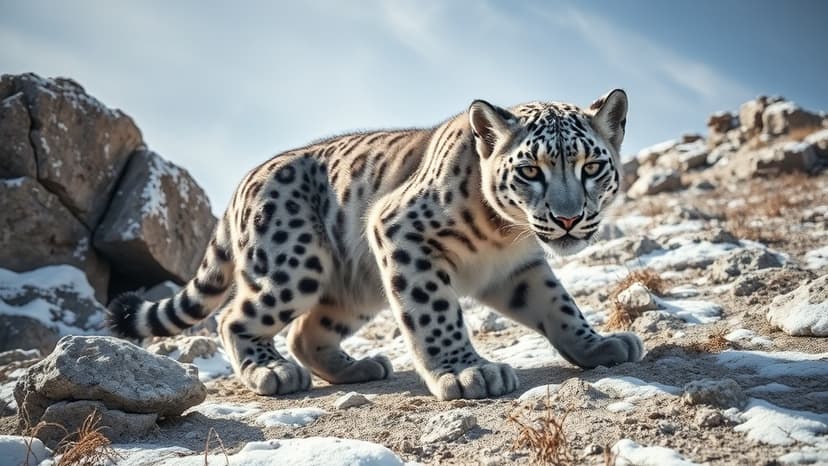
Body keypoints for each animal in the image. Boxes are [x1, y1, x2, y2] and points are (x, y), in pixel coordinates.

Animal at [108, 89, 643, 400]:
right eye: (531, 170)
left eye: (592, 166)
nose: (569, 218)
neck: (506, 237)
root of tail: (246, 178)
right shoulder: (404, 233)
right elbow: (434, 313)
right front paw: (467, 374)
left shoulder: (520, 270)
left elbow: (560, 305)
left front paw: (599, 344)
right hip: (294, 266)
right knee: (235, 318)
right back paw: (273, 373)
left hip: (355, 289)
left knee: (306, 332)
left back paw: (359, 367)